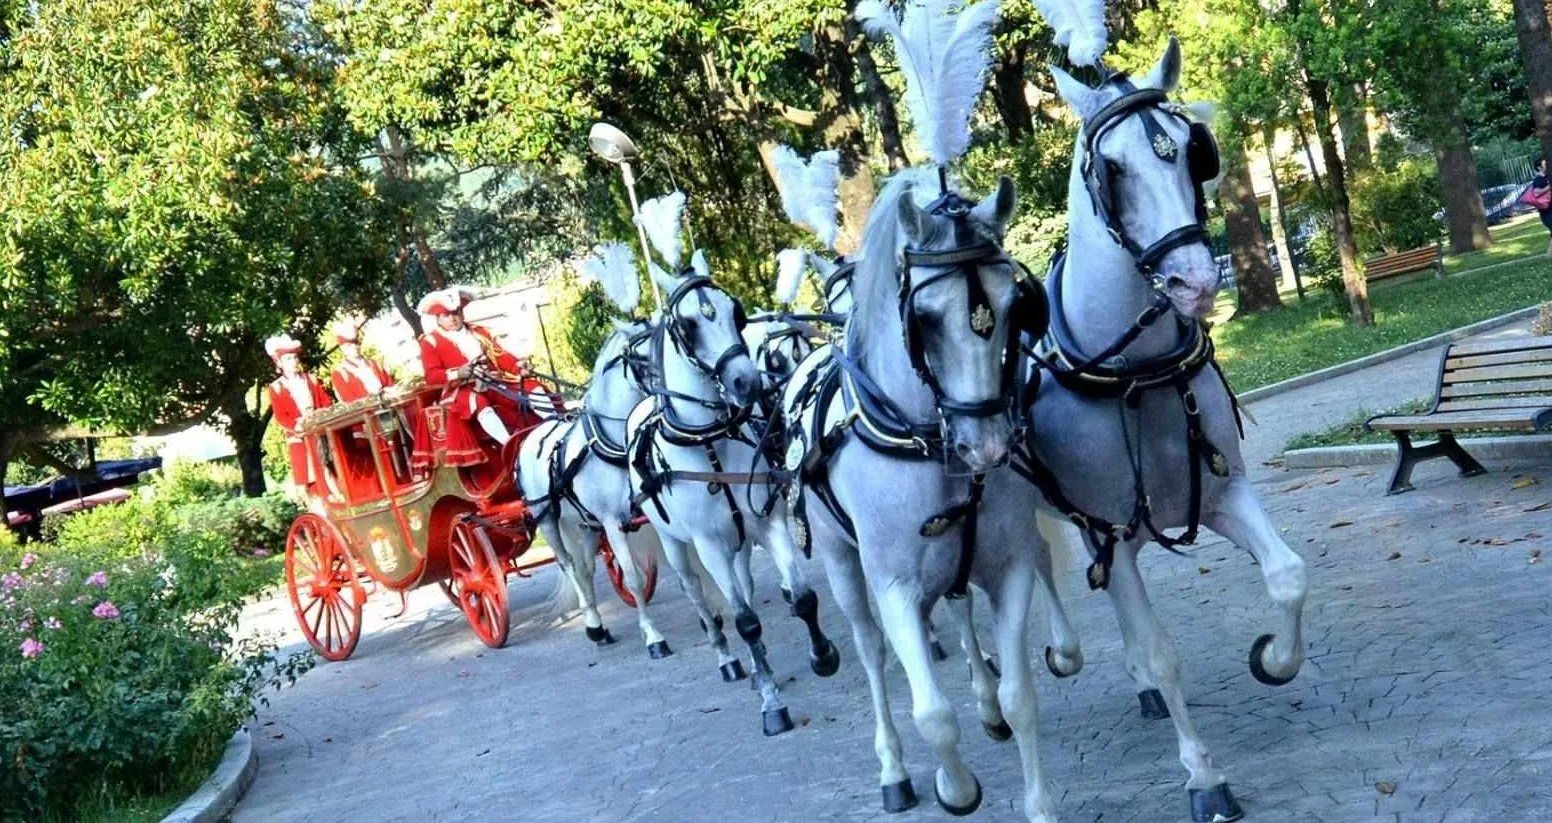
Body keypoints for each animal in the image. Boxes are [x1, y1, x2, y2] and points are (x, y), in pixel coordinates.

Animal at [1018, 41, 1309, 813]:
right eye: (1112, 168)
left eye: (1190, 152)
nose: (1194, 283)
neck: (1136, 373)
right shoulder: (1110, 530)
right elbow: (1161, 648)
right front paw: (1205, 776)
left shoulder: (1221, 492)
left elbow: (1288, 577)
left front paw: (1274, 657)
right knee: (1037, 573)